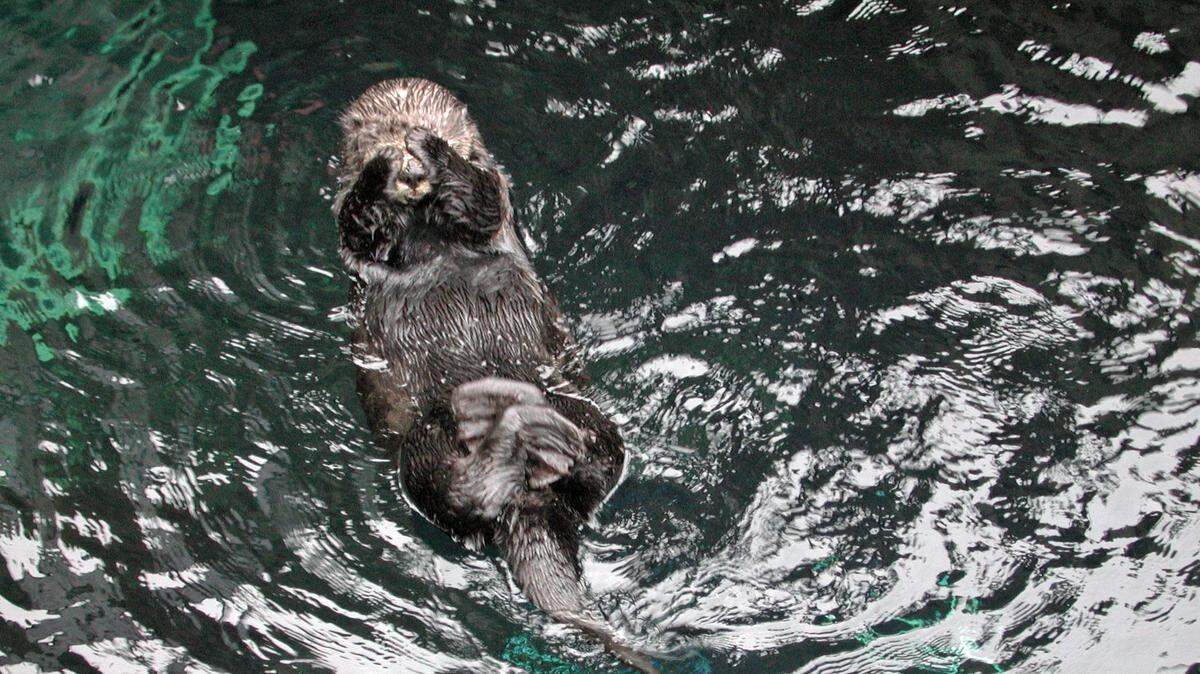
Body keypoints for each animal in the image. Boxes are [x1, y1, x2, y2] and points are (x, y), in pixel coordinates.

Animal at [333, 78, 654, 672]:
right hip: (421, 452)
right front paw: (379, 172)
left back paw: (534, 424)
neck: (426, 228)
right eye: (377, 132)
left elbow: (481, 194)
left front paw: (437, 157)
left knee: (597, 462)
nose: (408, 162)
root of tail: (525, 497)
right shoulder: (354, 237)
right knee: (460, 493)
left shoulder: (498, 195)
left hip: (583, 410)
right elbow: (356, 221)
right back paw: (499, 421)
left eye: (435, 128)